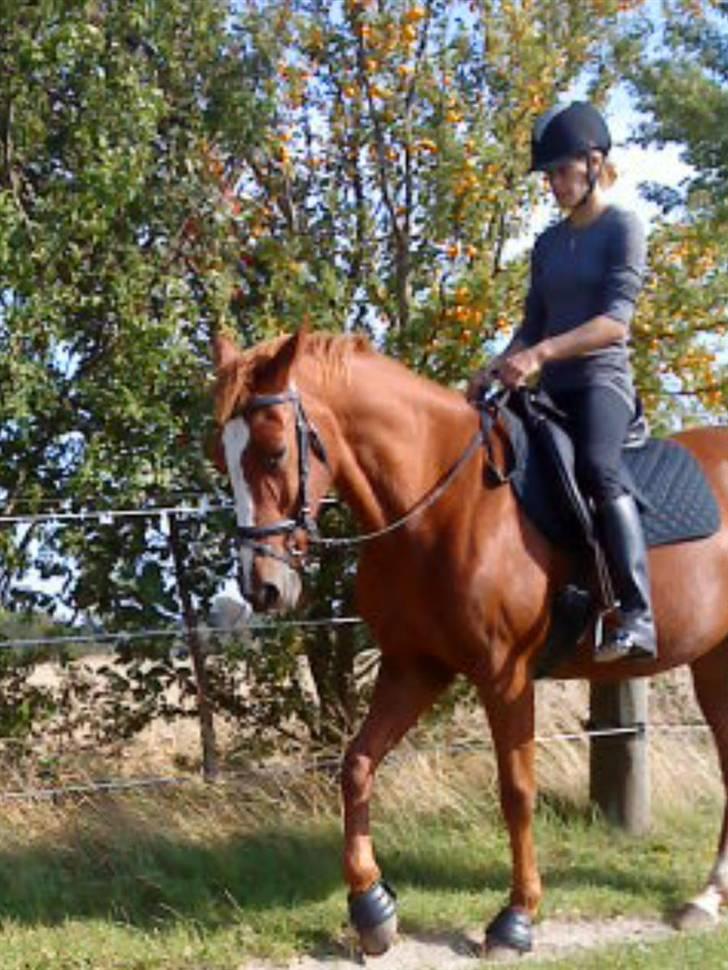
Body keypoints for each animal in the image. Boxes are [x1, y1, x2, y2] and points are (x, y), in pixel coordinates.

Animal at [213, 326, 728, 952]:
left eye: (275, 452)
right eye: (220, 457)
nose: (262, 587)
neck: (439, 506)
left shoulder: (505, 675)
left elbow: (516, 790)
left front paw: (516, 917)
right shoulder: (414, 667)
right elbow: (357, 764)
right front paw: (370, 906)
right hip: (714, 663)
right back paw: (708, 897)